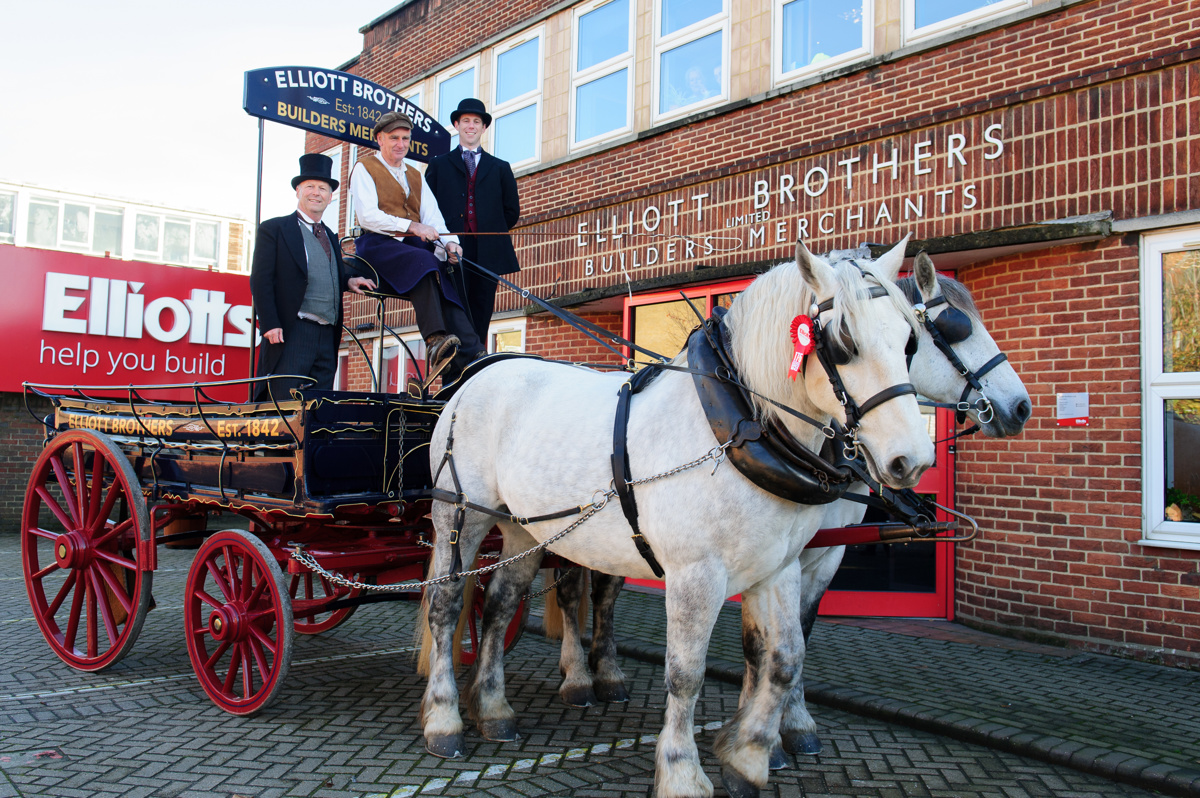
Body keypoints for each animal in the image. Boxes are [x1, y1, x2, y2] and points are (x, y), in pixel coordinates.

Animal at [422, 237, 936, 796]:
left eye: (910, 341)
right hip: (460, 515)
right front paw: (681, 770)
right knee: (446, 606)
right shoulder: (696, 574)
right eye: (843, 342)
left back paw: (493, 709)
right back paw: (444, 718)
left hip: (522, 529)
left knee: (498, 606)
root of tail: (474, 377)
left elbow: (784, 659)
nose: (911, 460)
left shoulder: (778, 567)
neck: (736, 425)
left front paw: (747, 758)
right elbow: (686, 673)